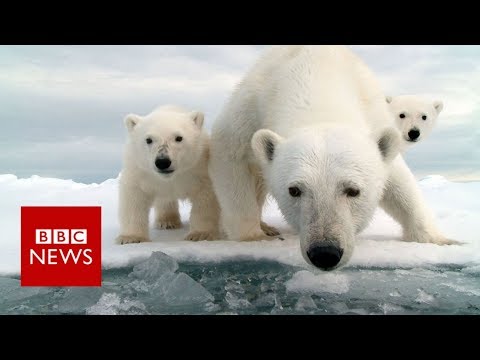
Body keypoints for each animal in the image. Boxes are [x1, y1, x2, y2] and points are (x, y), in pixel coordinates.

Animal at [208, 45, 456, 270]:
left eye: (353, 190)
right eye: (294, 190)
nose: (325, 253)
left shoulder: (373, 115)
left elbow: (400, 184)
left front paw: (441, 240)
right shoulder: (251, 106)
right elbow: (230, 155)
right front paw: (252, 237)